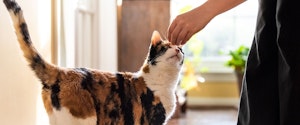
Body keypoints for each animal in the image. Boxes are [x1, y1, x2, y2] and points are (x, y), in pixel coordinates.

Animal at [3, 0, 184, 125]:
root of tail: (62, 71)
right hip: (84, 118)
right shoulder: (152, 119)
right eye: (166, 47)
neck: (166, 83)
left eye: (181, 50)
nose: (177, 50)